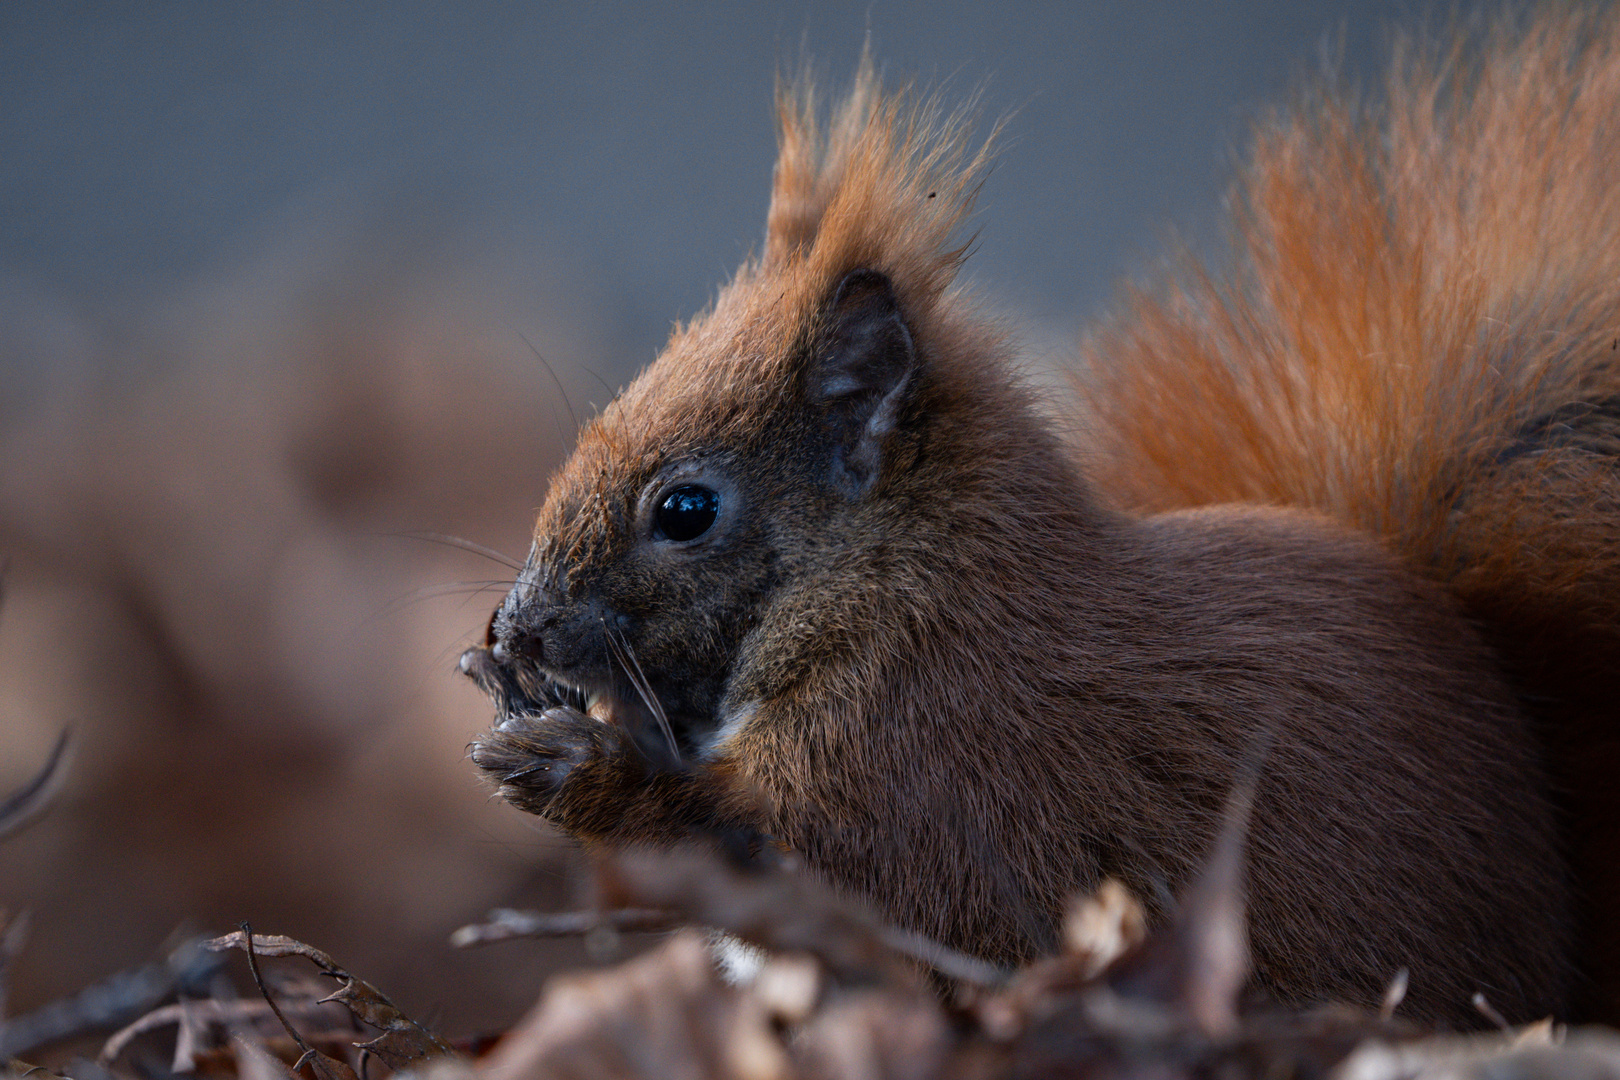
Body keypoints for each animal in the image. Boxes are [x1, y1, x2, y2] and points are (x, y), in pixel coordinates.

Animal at [460, 14, 1620, 1029]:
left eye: (686, 510)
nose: (515, 630)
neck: (895, 581)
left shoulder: (922, 760)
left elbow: (784, 847)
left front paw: (566, 763)